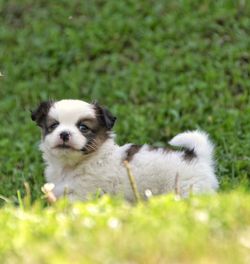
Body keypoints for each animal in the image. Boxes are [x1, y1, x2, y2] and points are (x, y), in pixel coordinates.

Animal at [31, 100, 219, 201]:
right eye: (53, 126)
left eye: (83, 128)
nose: (64, 134)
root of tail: (198, 156)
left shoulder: (82, 195)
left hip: (189, 190)